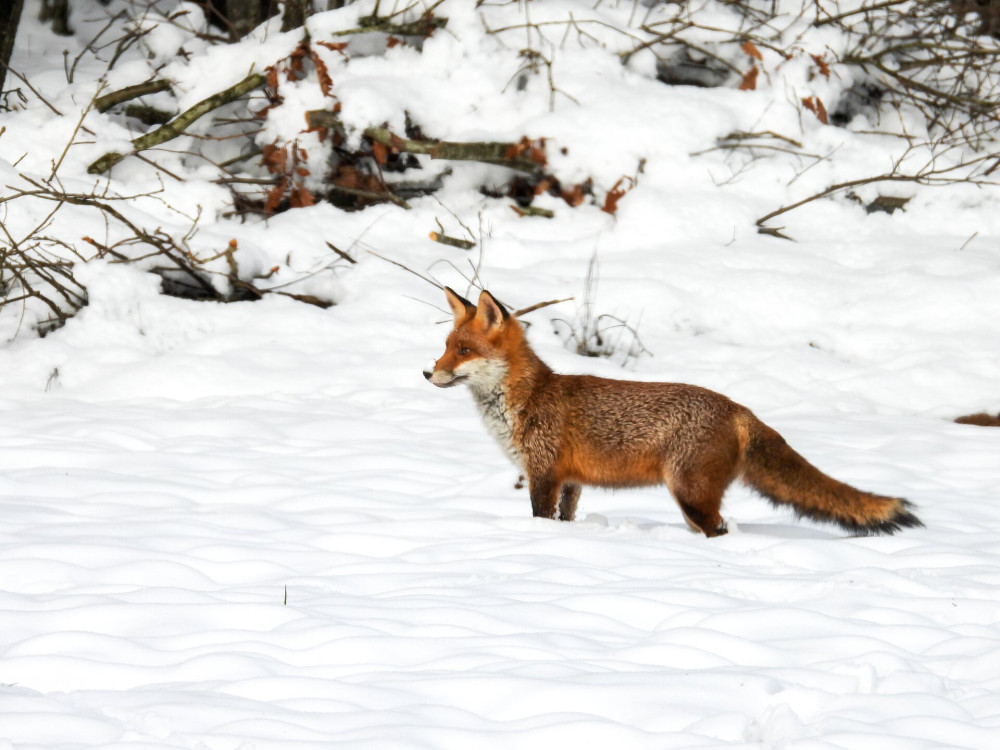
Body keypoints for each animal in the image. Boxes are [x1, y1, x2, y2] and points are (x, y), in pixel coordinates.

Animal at [422, 284, 920, 536]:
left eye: (463, 351)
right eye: (444, 346)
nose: (427, 373)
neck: (526, 400)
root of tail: (738, 406)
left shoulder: (543, 473)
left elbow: (540, 520)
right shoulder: (571, 481)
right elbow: (568, 520)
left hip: (690, 494)